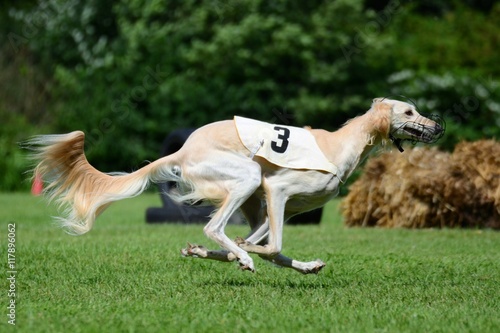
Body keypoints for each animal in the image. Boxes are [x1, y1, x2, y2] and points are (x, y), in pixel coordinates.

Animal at [25, 98, 444, 272]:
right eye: (409, 111)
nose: (438, 126)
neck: (342, 145)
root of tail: (184, 149)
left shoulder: (278, 206)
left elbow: (269, 246)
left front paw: (306, 266)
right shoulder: (276, 190)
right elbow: (272, 246)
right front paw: (246, 253)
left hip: (248, 196)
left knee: (224, 233)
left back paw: (220, 253)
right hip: (248, 178)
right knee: (215, 227)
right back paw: (240, 256)